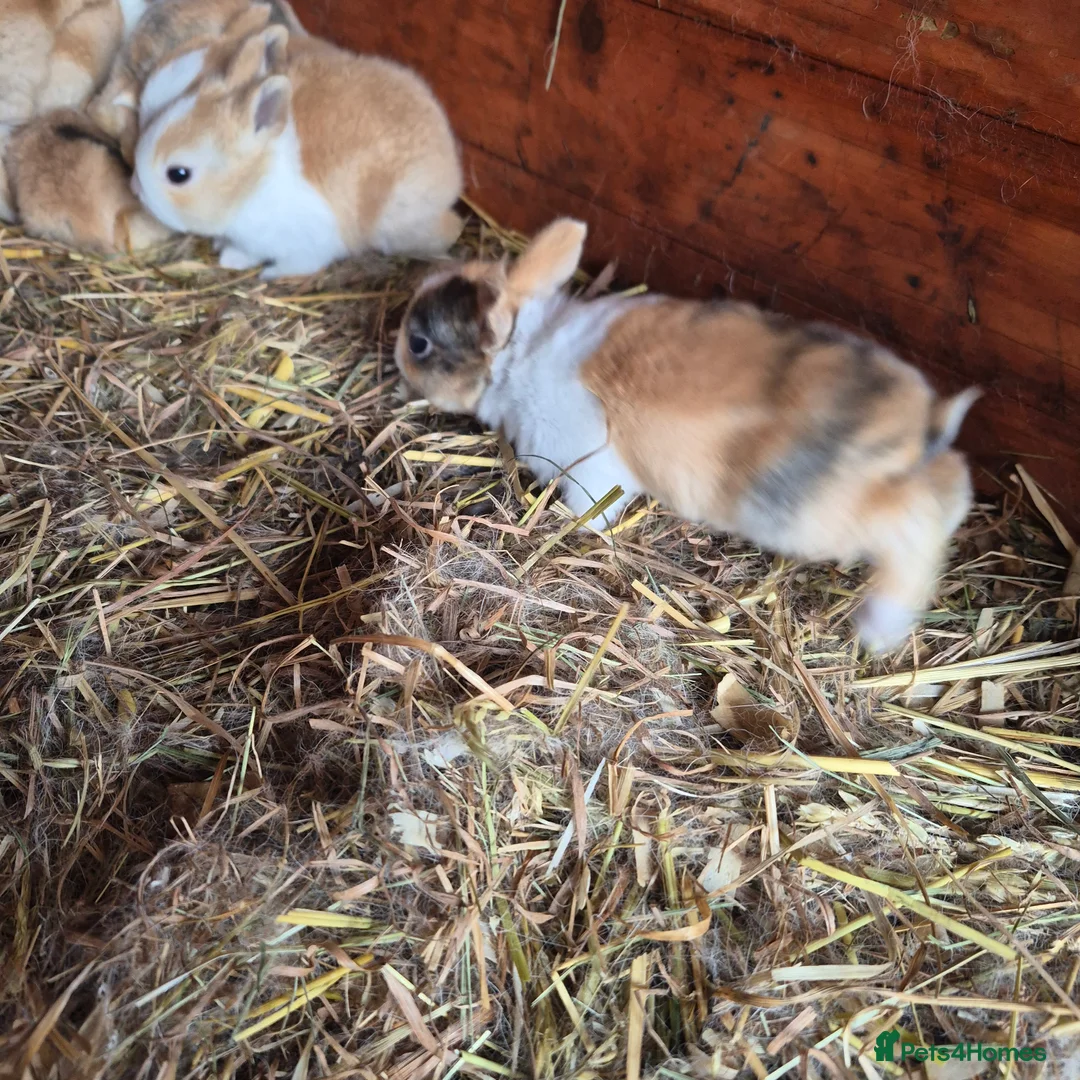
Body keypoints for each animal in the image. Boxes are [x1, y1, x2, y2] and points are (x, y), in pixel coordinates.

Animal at [131, 26, 464, 279]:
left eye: (178, 174)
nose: (135, 188)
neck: (252, 184)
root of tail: (452, 172)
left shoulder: (310, 241)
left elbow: (298, 263)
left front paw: (262, 271)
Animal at [394, 218, 979, 653]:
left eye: (420, 342)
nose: (398, 355)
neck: (521, 354)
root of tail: (917, 423)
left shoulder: (590, 472)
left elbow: (592, 511)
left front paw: (574, 530)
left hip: (818, 510)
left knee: (918, 528)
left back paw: (880, 630)